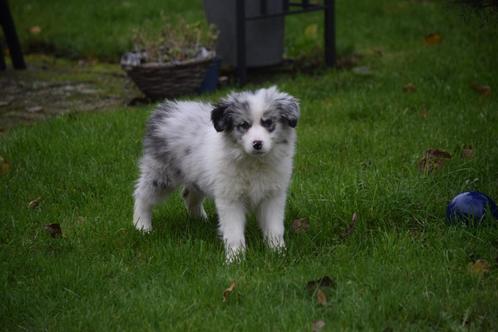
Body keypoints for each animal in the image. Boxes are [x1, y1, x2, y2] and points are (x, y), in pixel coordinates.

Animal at [132, 86, 300, 262]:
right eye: (243, 125)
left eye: (268, 123)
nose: (257, 144)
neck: (254, 163)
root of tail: (164, 109)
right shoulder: (230, 198)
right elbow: (234, 232)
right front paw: (235, 259)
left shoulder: (273, 196)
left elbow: (275, 228)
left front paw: (278, 252)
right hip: (161, 174)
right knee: (142, 195)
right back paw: (142, 227)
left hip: (196, 176)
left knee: (189, 195)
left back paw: (200, 220)